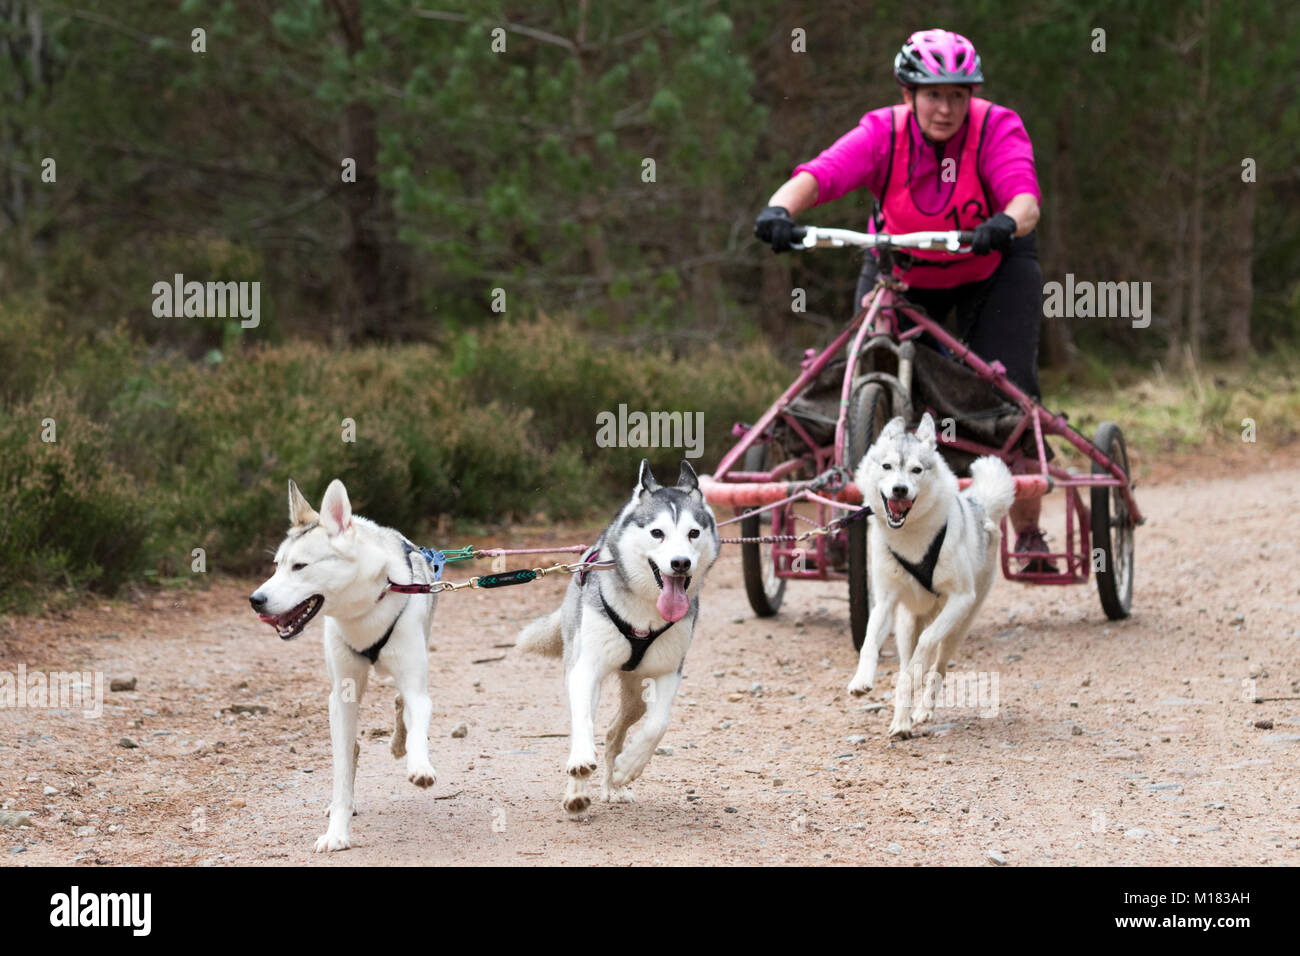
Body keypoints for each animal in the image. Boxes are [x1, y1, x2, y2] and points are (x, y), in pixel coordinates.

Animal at [248, 478, 441, 853]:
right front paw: (337, 831)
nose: (255, 600)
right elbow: (341, 769)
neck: (363, 610)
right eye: (277, 565)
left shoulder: (416, 685)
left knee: (400, 706)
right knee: (352, 748)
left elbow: (416, 719)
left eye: (300, 566)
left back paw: (400, 745)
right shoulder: (341, 697)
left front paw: (419, 764)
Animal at [517, 463, 722, 816]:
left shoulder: (669, 672)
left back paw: (613, 784)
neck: (644, 613)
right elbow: (584, 722)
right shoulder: (586, 669)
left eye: (693, 533)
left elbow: (658, 725)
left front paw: (629, 767)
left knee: (616, 730)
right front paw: (581, 764)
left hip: (636, 696)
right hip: (577, 663)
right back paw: (577, 792)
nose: (681, 562)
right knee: (585, 723)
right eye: (657, 533)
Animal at [842, 413, 1013, 738]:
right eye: (887, 466)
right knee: (905, 663)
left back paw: (920, 708)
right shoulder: (885, 602)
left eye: (916, 470)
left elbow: (927, 645)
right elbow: (869, 642)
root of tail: (978, 505)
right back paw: (901, 721)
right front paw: (861, 680)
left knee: (937, 667)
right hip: (906, 624)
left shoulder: (960, 599)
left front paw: (917, 674)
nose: (899, 489)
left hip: (959, 626)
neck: (910, 536)